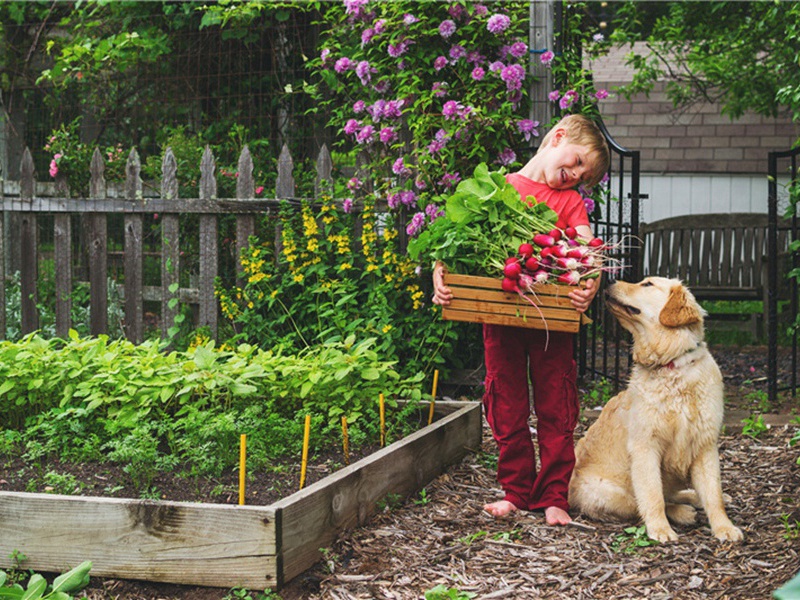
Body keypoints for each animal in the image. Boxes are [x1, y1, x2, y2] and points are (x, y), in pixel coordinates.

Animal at [568, 276, 744, 544]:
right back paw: (682, 511)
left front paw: (724, 527)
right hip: (604, 491)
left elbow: (713, 493)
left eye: (647, 284)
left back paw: (695, 497)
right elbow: (652, 496)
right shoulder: (645, 446)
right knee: (644, 502)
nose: (609, 280)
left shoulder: (705, 445)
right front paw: (660, 529)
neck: (671, 365)